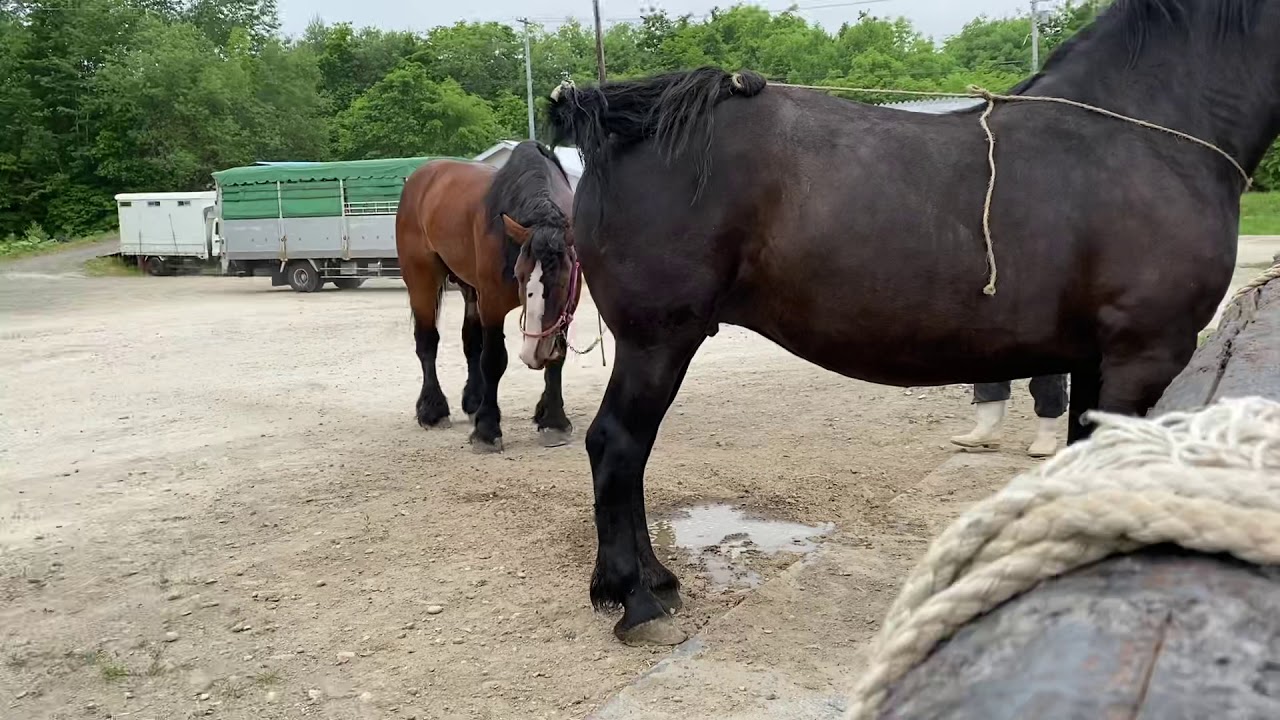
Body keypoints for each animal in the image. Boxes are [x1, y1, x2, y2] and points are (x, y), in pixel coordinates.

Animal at [396, 140, 583, 450]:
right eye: (520, 273)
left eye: (564, 279)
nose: (534, 353)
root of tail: (420, 177)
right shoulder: (492, 303)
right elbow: (494, 359)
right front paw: (487, 429)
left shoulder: (568, 307)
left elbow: (558, 357)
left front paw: (553, 420)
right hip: (421, 278)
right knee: (427, 343)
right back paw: (433, 410)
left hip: (469, 288)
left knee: (470, 342)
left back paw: (473, 401)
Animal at [542, 0, 1280, 640]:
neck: (1142, 134)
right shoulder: (1142, 356)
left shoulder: (1098, 363)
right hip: (659, 341)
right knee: (618, 445)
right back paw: (634, 596)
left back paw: (655, 582)